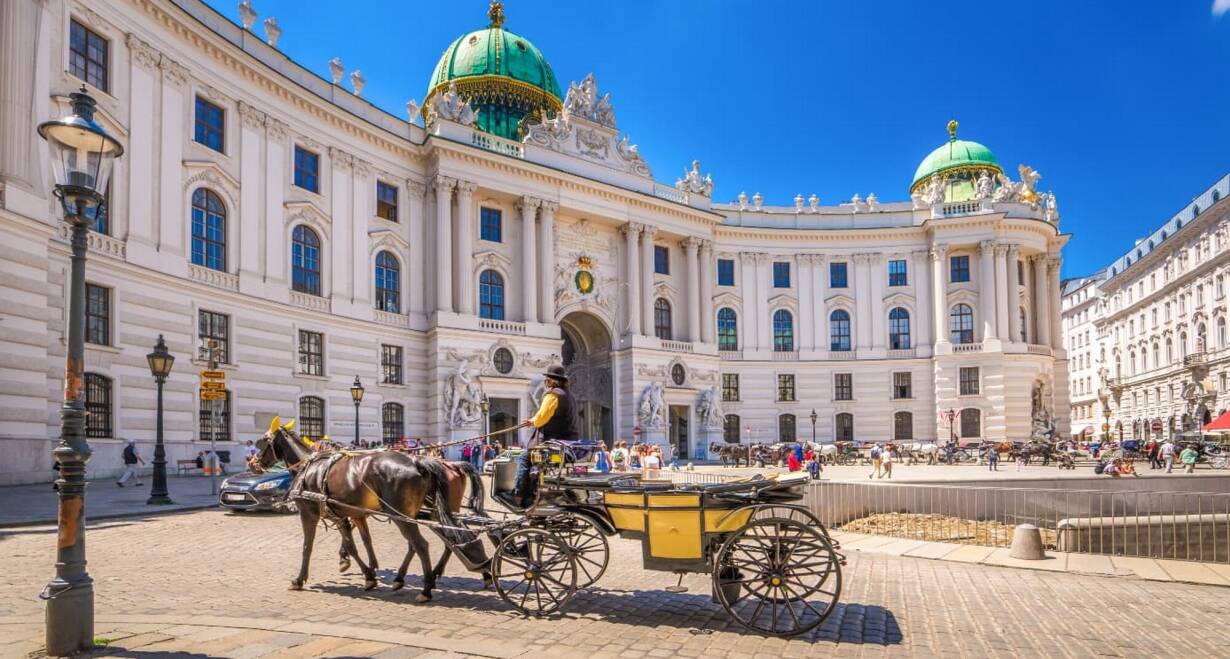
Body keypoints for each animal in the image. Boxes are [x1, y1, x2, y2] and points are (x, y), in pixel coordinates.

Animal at [250, 418, 489, 602]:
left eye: (262, 442)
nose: (252, 463)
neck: (310, 467)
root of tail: (419, 463)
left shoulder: (309, 513)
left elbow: (308, 546)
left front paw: (299, 579)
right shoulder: (347, 515)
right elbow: (359, 543)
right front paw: (369, 573)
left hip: (405, 514)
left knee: (423, 544)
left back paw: (426, 587)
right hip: (428, 512)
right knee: (448, 538)